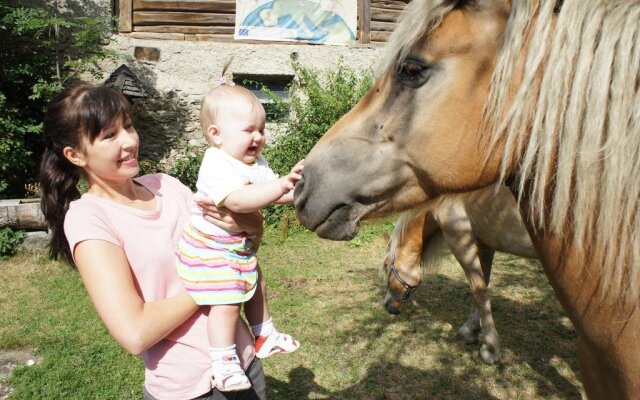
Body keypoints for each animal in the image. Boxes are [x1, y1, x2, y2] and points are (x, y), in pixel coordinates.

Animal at [382, 184, 536, 366]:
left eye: (386, 265)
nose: (387, 305)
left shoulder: (460, 241)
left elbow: (478, 291)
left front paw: (490, 348)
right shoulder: (484, 244)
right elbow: (483, 285)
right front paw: (470, 331)